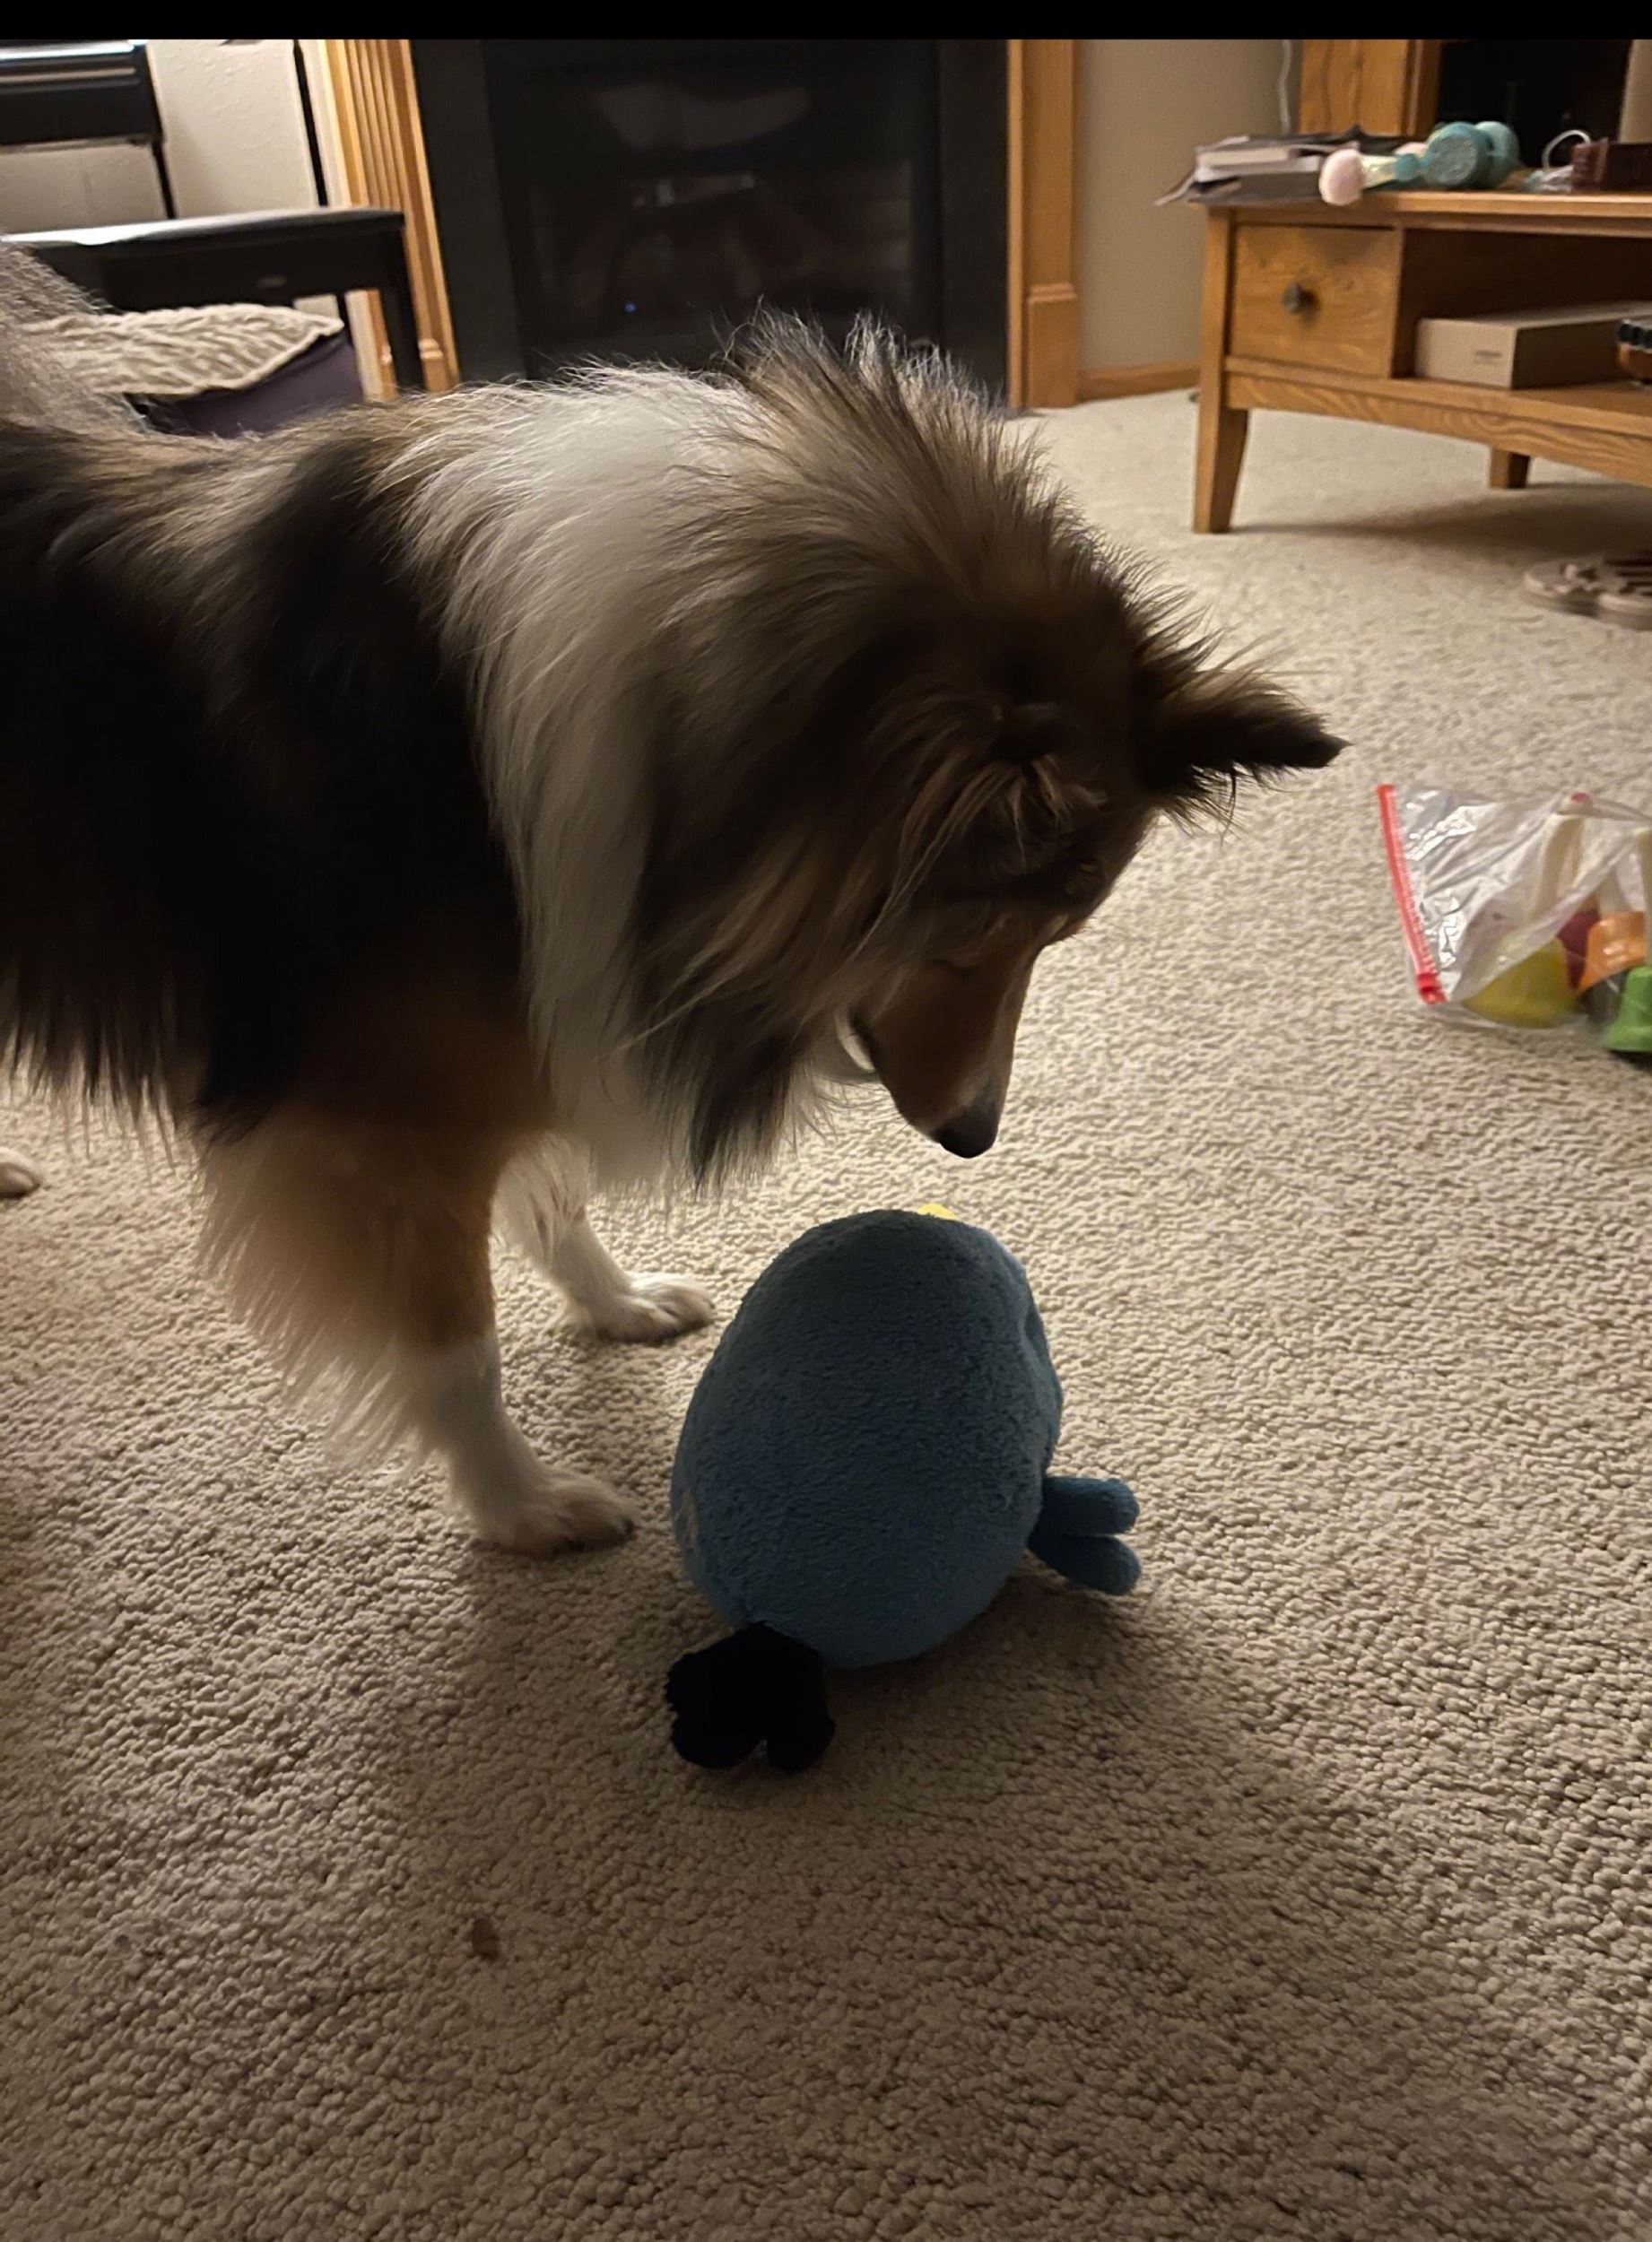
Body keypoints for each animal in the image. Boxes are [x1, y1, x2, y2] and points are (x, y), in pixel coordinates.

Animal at [0, 267, 1339, 1554]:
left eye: (1052, 941)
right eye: (974, 939)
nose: (973, 1139)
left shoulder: (549, 980)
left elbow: (552, 1193)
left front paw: (616, 1303)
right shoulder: (383, 1126)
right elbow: (457, 1346)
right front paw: (522, 1510)